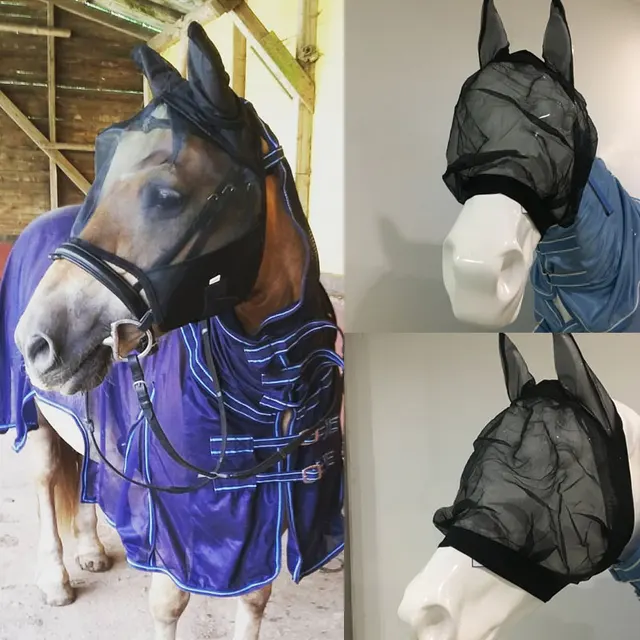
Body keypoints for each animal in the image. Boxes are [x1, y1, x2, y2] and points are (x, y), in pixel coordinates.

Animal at [0, 22, 344, 640]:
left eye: (167, 193)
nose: (35, 340)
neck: (269, 371)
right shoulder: (183, 526)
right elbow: (169, 605)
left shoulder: (257, 517)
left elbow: (254, 601)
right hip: (32, 411)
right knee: (44, 481)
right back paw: (57, 579)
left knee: (86, 467)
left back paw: (90, 551)